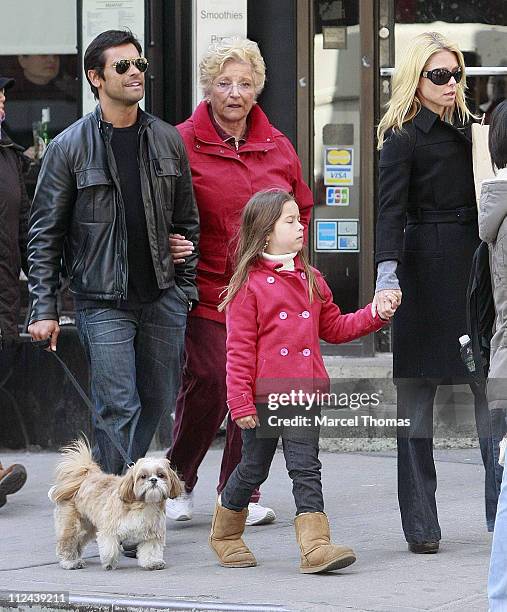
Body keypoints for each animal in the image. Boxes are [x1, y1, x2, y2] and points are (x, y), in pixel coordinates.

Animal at [49, 438, 181, 572]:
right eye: (143, 476)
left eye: (161, 475)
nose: (154, 480)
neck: (143, 504)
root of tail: (81, 479)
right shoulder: (110, 529)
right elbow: (110, 547)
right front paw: (109, 562)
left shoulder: (152, 533)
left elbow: (151, 550)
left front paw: (152, 562)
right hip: (72, 525)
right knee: (67, 543)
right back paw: (70, 561)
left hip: (88, 527)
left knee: (79, 542)